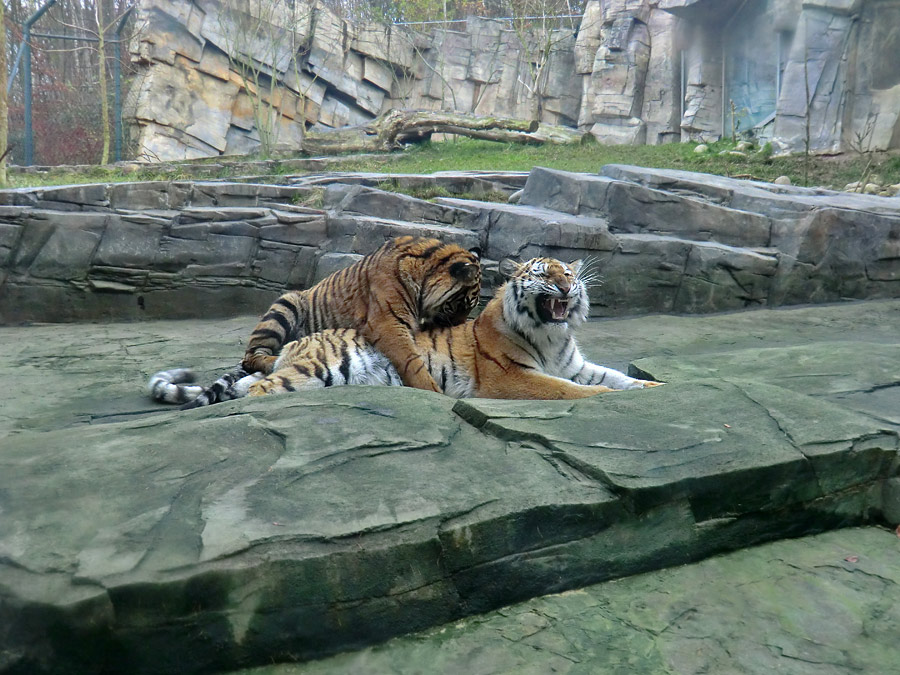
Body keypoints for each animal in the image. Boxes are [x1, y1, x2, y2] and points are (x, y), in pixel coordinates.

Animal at [148, 238, 482, 406]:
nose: (457, 325)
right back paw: (275, 360)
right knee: (254, 355)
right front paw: (432, 390)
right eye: (462, 304)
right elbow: (412, 362)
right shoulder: (388, 325)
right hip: (287, 304)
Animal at [155, 255, 656, 402]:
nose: (565, 283)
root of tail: (295, 344)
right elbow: (573, 391)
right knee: (259, 390)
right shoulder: (511, 377)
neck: (553, 335)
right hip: (316, 368)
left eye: (567, 272)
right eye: (540, 272)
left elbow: (615, 376)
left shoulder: (575, 365)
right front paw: (607, 399)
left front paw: (655, 386)